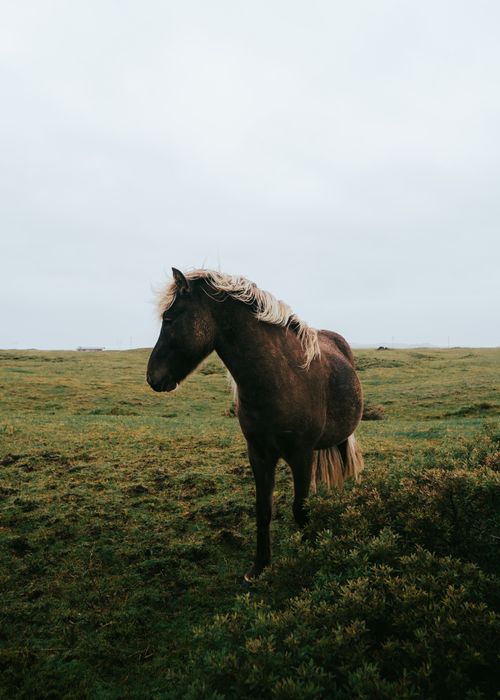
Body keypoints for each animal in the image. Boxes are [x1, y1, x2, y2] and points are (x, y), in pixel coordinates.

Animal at [147, 268, 364, 581]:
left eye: (169, 318)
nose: (152, 376)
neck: (279, 379)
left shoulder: (301, 455)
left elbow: (300, 509)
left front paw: (310, 552)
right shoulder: (259, 454)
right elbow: (263, 510)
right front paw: (259, 565)